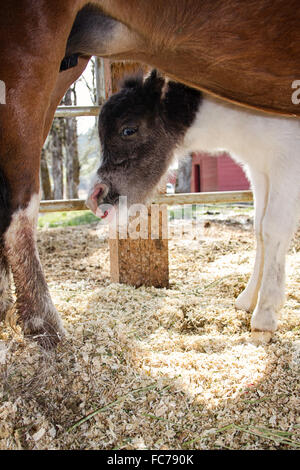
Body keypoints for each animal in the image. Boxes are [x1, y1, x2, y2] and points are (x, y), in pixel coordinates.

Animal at [0, 0, 300, 346]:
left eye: (128, 129)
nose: (96, 197)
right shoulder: (260, 169)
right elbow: (260, 230)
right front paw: (248, 300)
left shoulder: (284, 161)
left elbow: (272, 229)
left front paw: (264, 316)